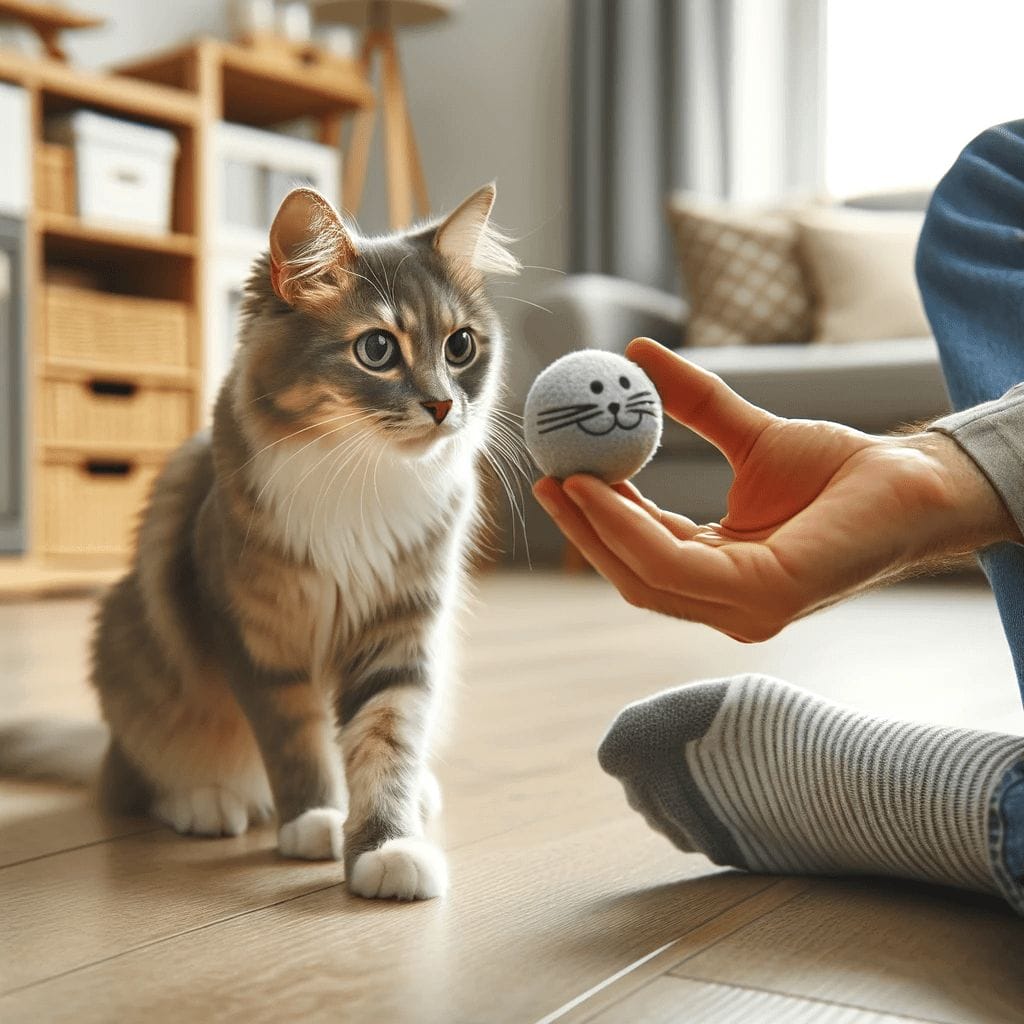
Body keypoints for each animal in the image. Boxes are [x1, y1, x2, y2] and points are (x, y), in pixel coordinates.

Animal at [82, 182, 520, 897]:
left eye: (460, 347)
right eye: (377, 350)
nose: (442, 407)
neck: (361, 479)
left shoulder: (402, 630)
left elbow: (385, 741)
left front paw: (387, 846)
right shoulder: (257, 638)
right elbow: (297, 741)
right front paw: (317, 819)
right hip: (131, 648)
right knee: (138, 779)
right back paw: (207, 802)